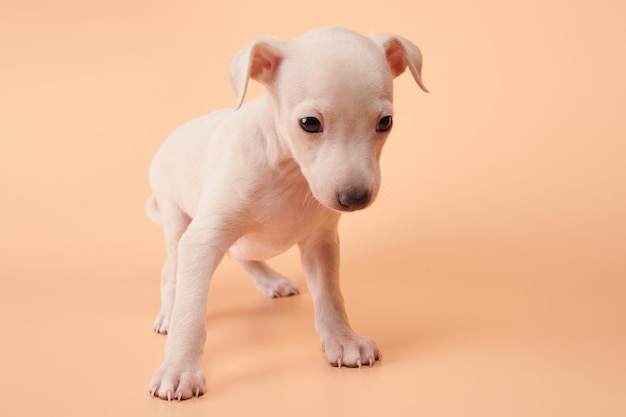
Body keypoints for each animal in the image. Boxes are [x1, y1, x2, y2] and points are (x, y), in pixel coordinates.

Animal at [147, 26, 428, 400]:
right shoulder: (203, 240)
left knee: (244, 255)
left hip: (243, 241)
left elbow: (330, 296)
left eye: (385, 122)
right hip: (176, 219)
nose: (355, 198)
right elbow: (190, 314)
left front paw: (343, 340)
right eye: (309, 123)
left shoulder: (321, 244)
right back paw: (168, 312)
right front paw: (179, 369)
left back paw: (271, 281)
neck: (290, 172)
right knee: (172, 271)